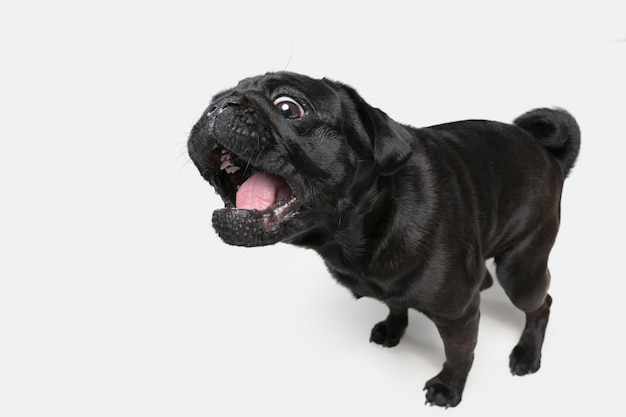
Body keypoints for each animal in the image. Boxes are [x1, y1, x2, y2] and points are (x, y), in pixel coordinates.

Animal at [186, 71, 580, 406]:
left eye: (288, 108)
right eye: (215, 100)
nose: (219, 105)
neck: (353, 234)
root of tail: (548, 154)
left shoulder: (459, 315)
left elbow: (460, 352)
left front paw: (449, 386)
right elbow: (395, 303)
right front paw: (394, 328)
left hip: (520, 271)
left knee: (541, 304)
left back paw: (527, 354)